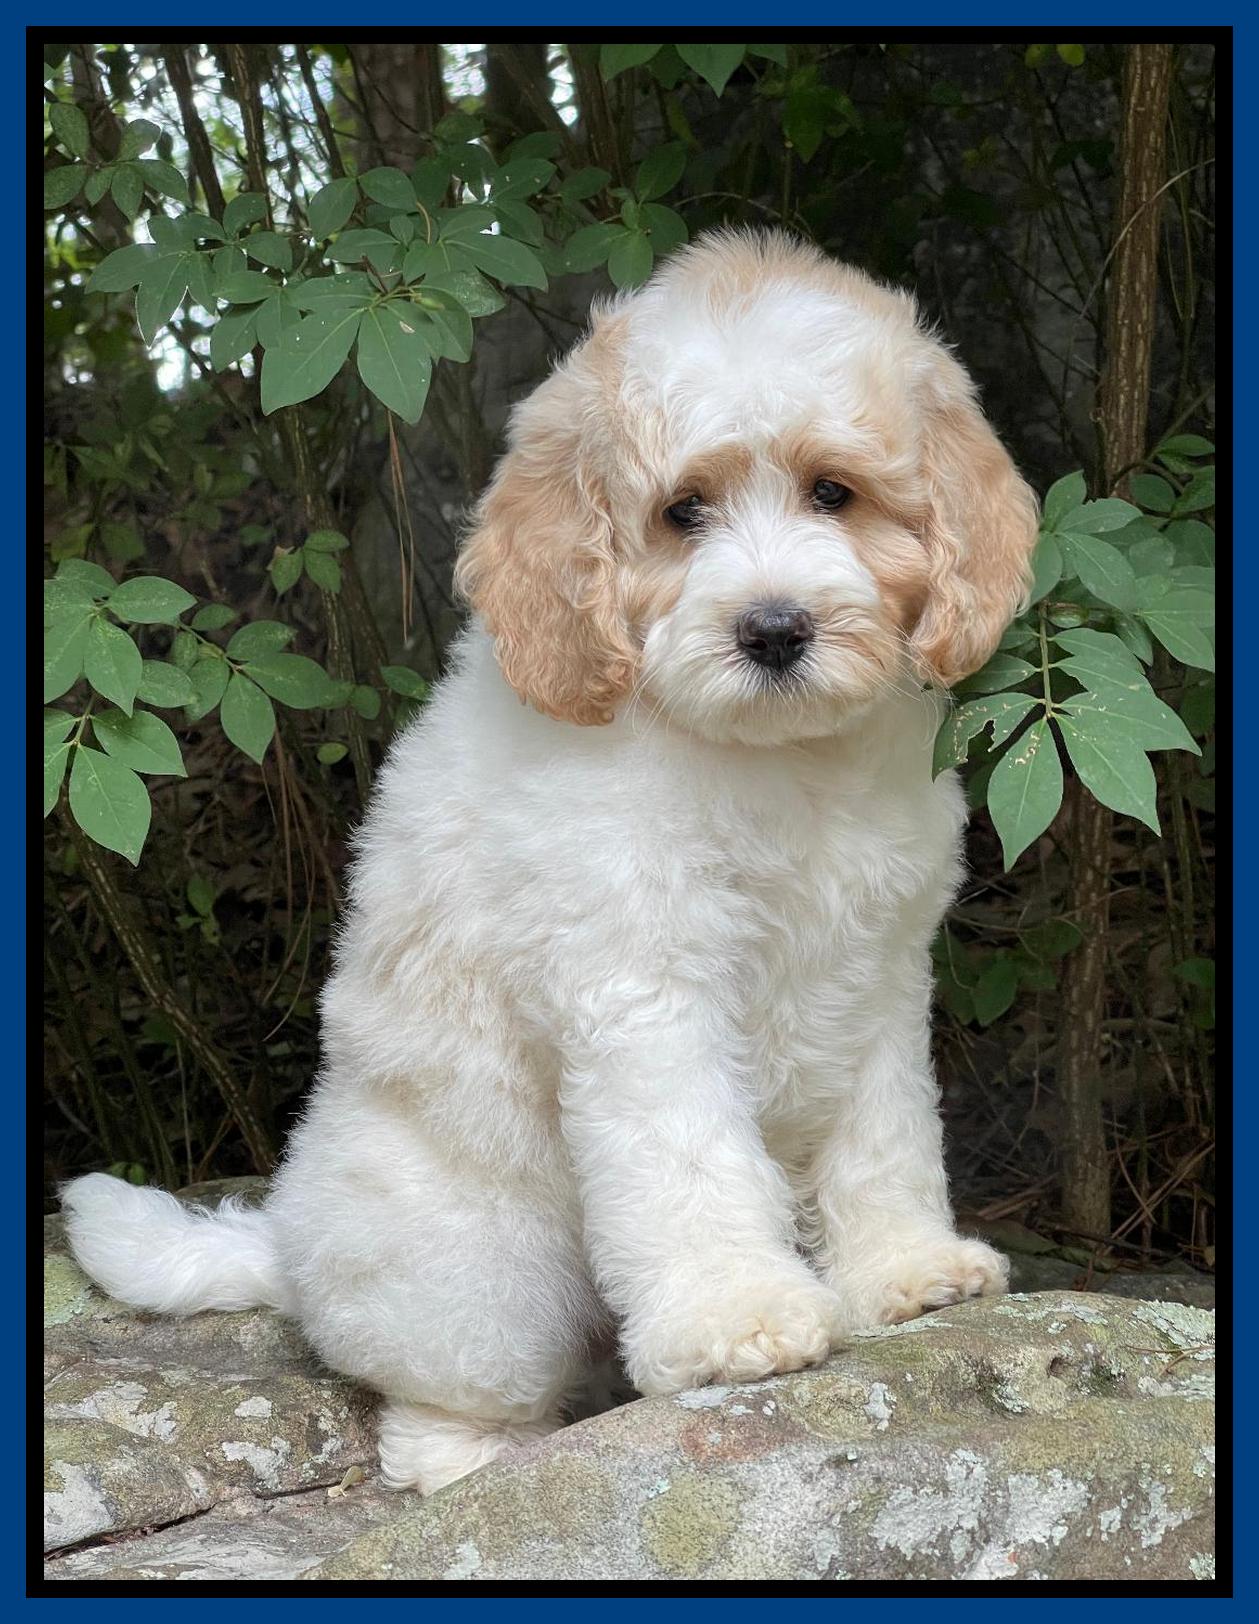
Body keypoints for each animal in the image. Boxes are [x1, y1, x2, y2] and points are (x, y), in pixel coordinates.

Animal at [62, 229, 1039, 1496]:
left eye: (833, 491)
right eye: (682, 513)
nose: (773, 629)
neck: (765, 757)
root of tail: (285, 1238)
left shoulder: (876, 971)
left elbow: (884, 1134)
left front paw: (904, 1270)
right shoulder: (646, 994)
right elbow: (689, 1162)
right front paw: (736, 1319)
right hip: (489, 1272)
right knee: (431, 1406)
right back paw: (482, 1459)